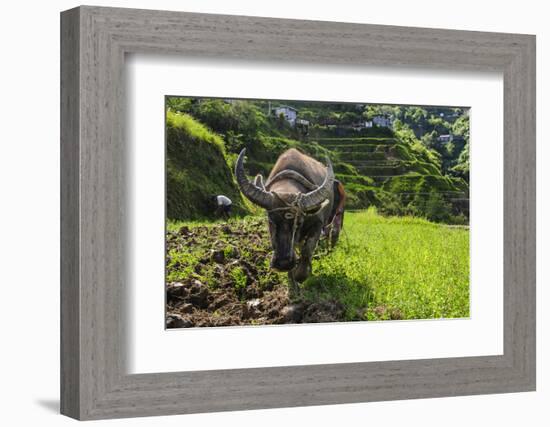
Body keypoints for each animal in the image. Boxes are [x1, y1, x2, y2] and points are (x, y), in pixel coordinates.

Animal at [236, 148, 344, 294]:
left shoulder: (318, 224)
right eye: (271, 221)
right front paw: (292, 284)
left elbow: (307, 250)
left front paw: (301, 275)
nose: (283, 263)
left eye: (299, 223)